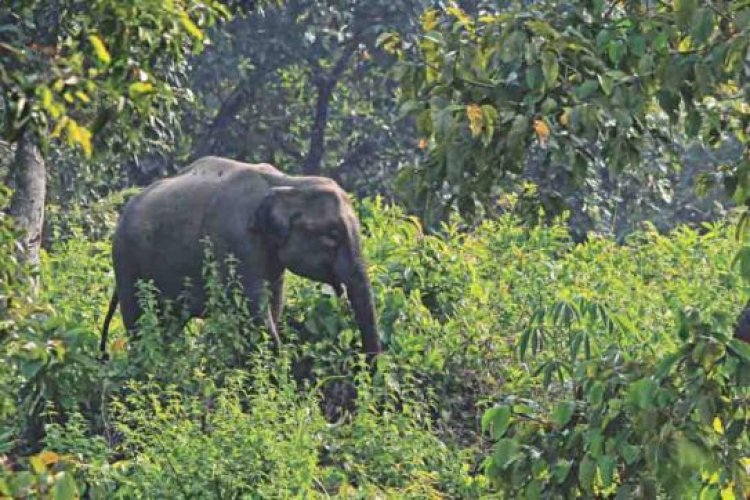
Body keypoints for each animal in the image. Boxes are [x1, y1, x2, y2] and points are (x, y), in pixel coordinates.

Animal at [100, 155, 382, 356]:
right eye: (333, 235)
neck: (287, 182)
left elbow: (274, 305)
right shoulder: (235, 242)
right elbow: (255, 312)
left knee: (169, 324)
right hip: (126, 261)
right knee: (138, 320)